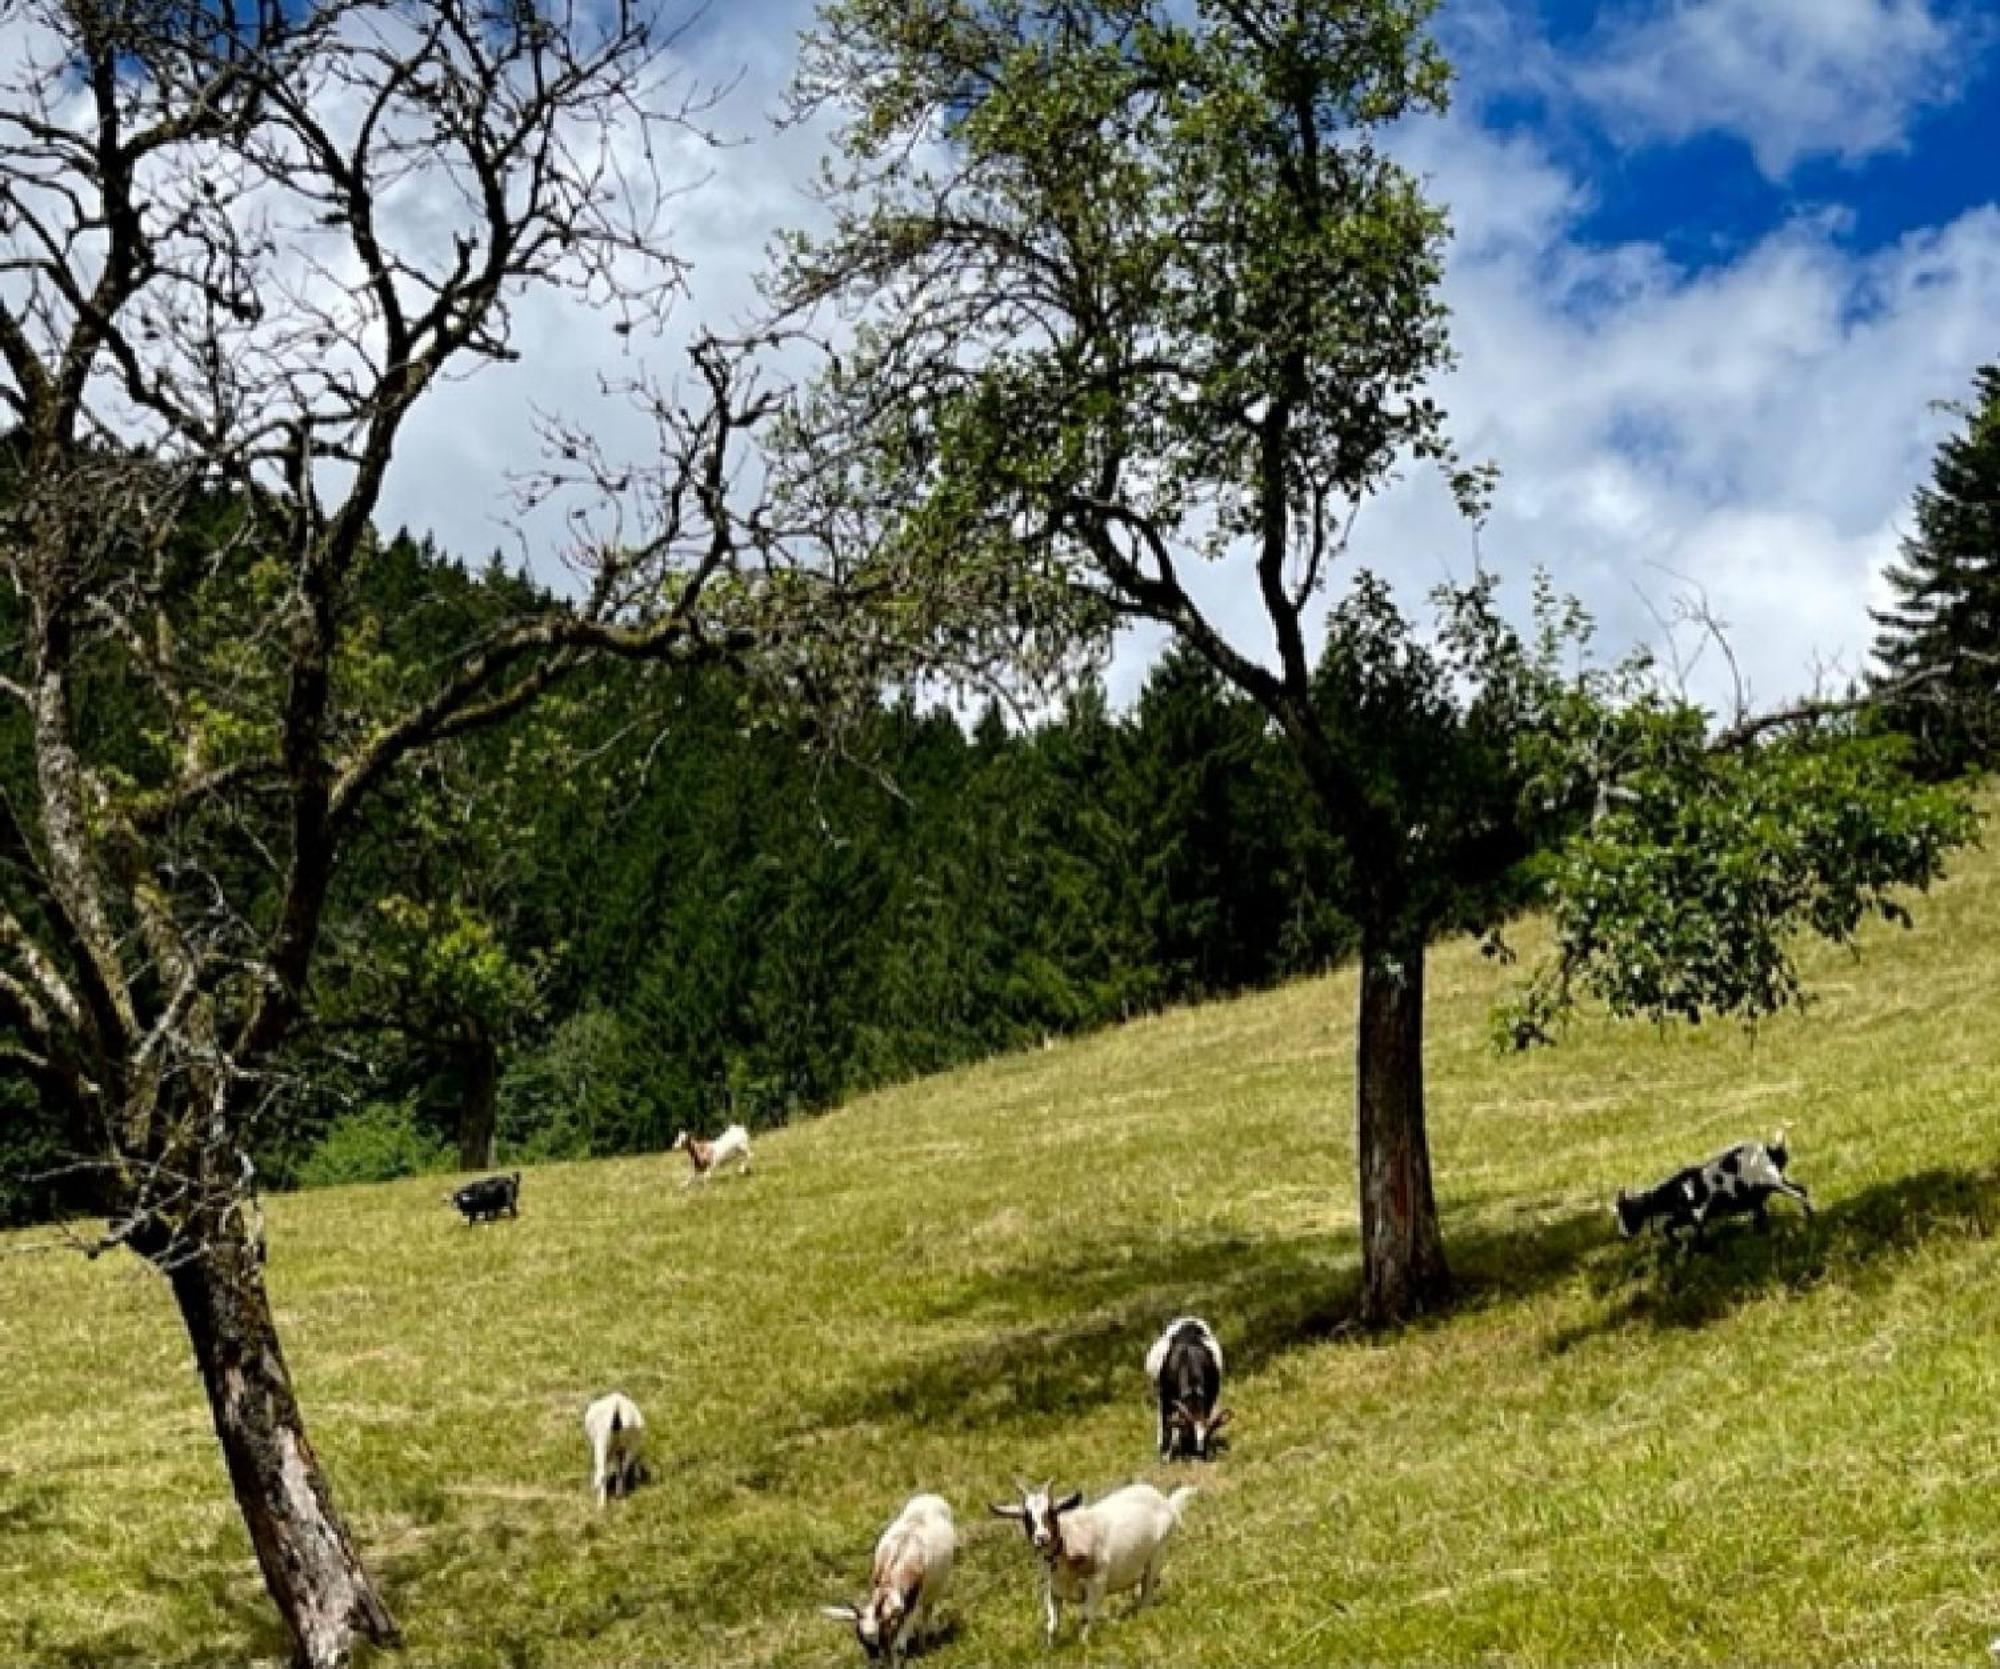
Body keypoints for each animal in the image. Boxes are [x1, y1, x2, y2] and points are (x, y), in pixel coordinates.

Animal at [820, 1488, 960, 1656]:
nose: (876, 1659)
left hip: (933, 1591)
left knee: (927, 1611)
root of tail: (931, 1497)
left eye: (881, 1636)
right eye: (862, 1640)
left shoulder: (911, 1606)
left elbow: (900, 1644)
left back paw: (922, 1644)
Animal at [992, 1472, 1192, 1640]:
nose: (1042, 1538)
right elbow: (1052, 1626)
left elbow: (1086, 1617)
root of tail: (1165, 1502)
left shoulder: (1097, 1583)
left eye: (1051, 1512)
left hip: (1158, 1553)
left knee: (1148, 1591)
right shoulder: (1053, 1589)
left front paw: (1083, 1645)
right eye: (1026, 1517)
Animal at [1144, 1312, 1232, 1456]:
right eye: (1190, 1433)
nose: (1199, 1453)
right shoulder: (1165, 1397)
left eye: (1208, 1434)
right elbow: (1166, 1424)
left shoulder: (1210, 1396)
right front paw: (1165, 1453)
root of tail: (1188, 1319)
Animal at [1616, 1128, 1824, 1240]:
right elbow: (1668, 1227)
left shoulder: (1698, 1214)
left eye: (1625, 1213)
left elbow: (1697, 1236)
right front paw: (1677, 1244)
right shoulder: (1685, 1216)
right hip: (1767, 1187)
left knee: (1798, 1192)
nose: (1623, 1235)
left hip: (1773, 1181)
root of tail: (1770, 1150)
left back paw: (1809, 1217)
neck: (1677, 1190)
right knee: (1795, 1193)